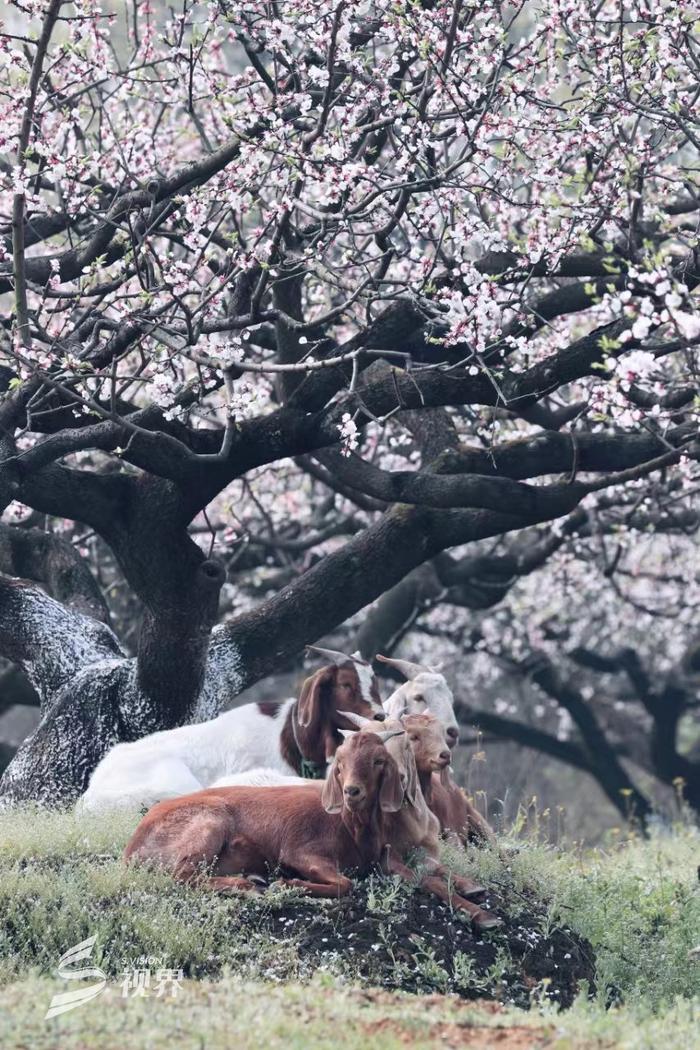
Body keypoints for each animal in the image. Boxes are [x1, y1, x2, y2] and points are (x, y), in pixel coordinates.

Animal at [125, 734, 405, 898]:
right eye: (340, 762)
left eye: (379, 760)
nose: (352, 791)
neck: (349, 827)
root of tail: (132, 850)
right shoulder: (300, 851)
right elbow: (345, 883)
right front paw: (288, 883)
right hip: (209, 823)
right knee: (182, 875)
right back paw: (250, 886)